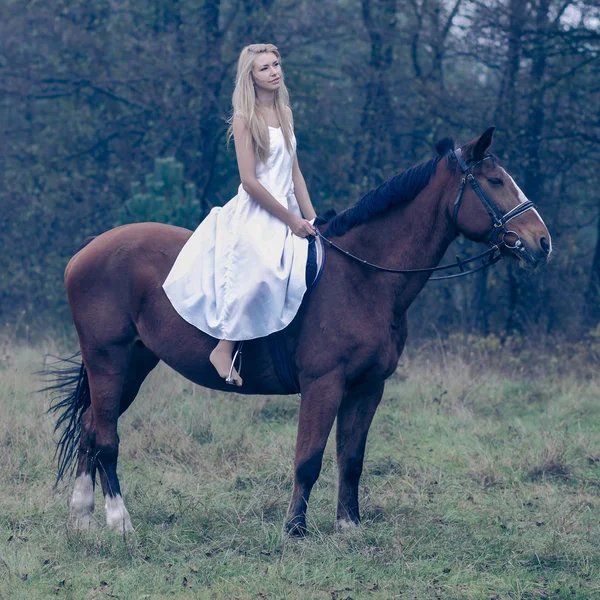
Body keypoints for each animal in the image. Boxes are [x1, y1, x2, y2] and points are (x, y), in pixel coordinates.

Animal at [47, 126, 552, 536]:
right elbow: (308, 458)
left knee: (91, 428)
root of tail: (84, 254)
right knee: (106, 439)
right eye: (495, 182)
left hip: (134, 363)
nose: (542, 242)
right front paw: (295, 529)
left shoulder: (367, 388)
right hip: (109, 360)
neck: (364, 276)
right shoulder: (324, 385)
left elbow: (352, 459)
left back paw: (81, 518)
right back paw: (119, 521)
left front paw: (349, 527)